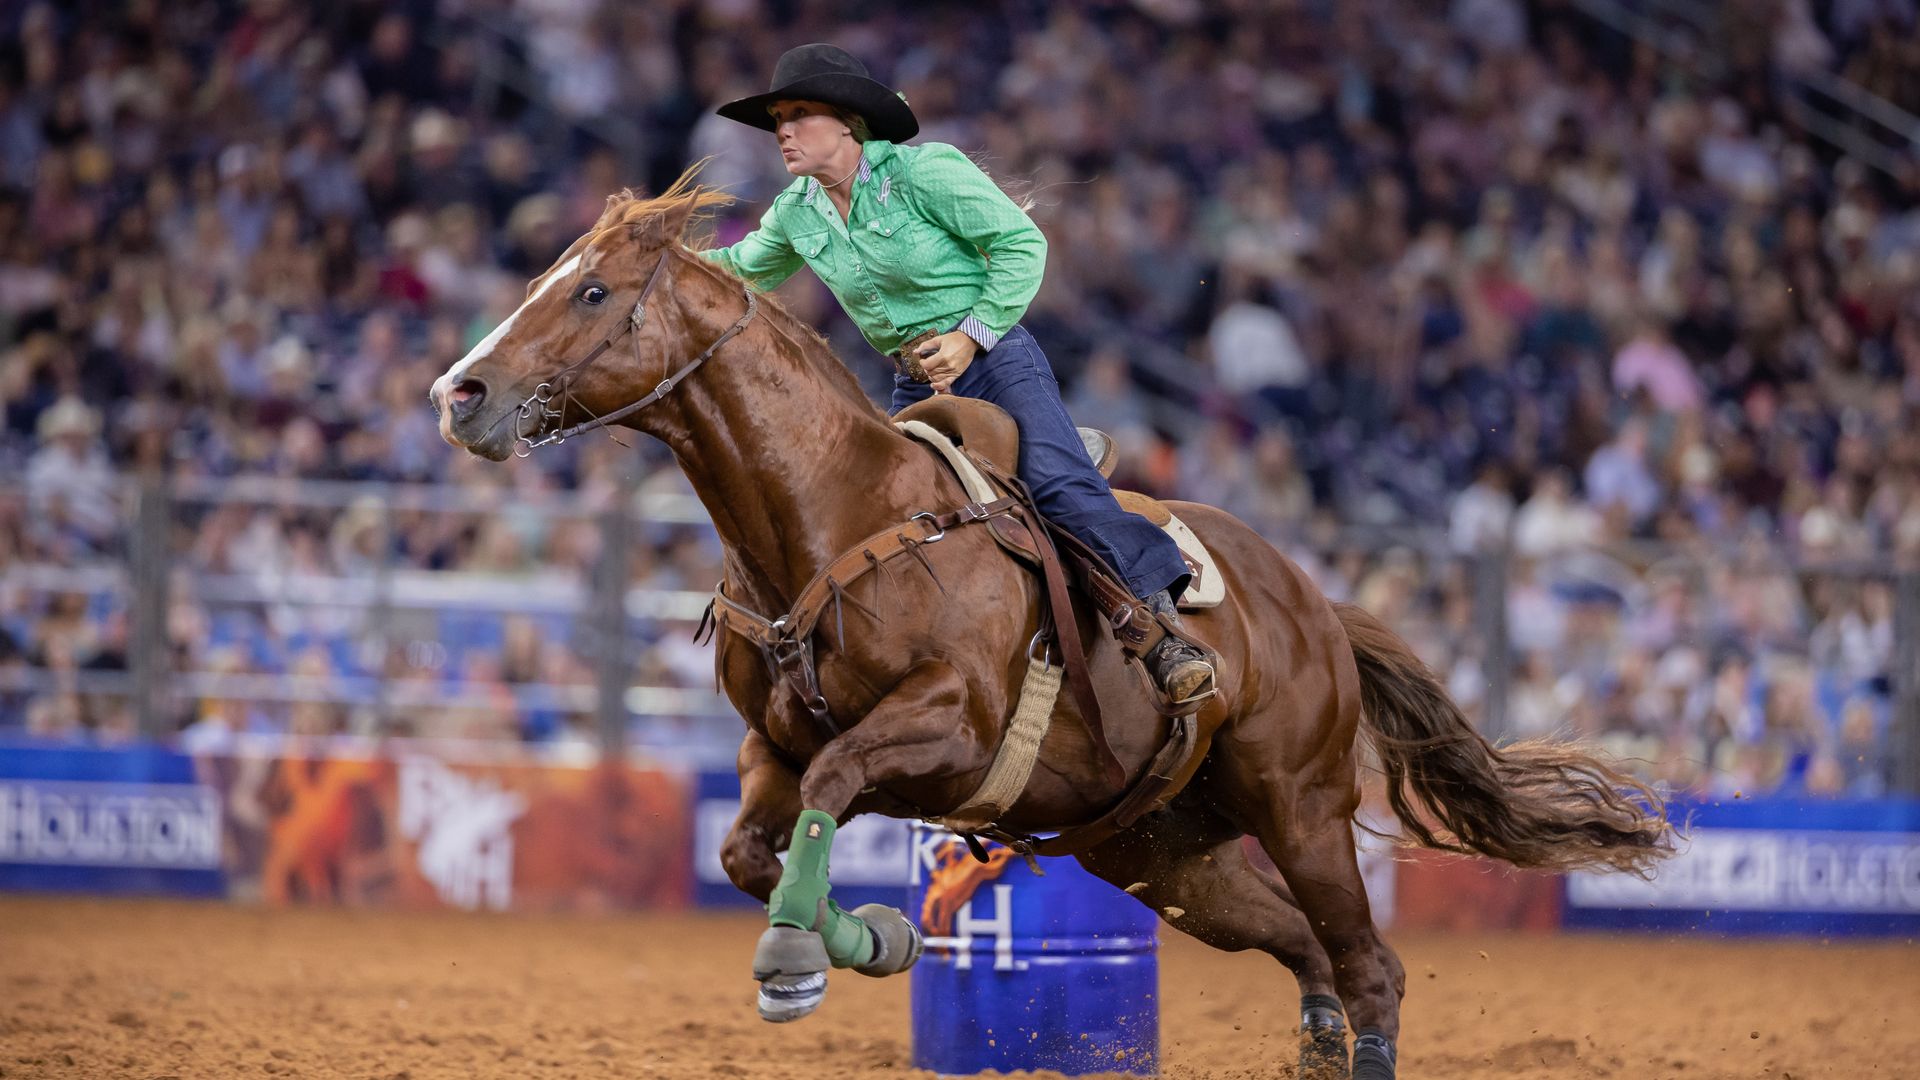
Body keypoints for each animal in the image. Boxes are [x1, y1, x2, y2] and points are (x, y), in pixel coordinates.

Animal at [429, 172, 1671, 1080]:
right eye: (545, 277)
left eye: (593, 294)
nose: (460, 395)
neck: (839, 514)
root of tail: (1316, 602)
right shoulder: (766, 746)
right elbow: (746, 847)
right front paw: (874, 938)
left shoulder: (944, 727)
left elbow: (832, 788)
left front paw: (795, 960)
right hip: (1163, 856)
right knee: (1312, 946)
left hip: (1303, 809)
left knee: (1369, 964)